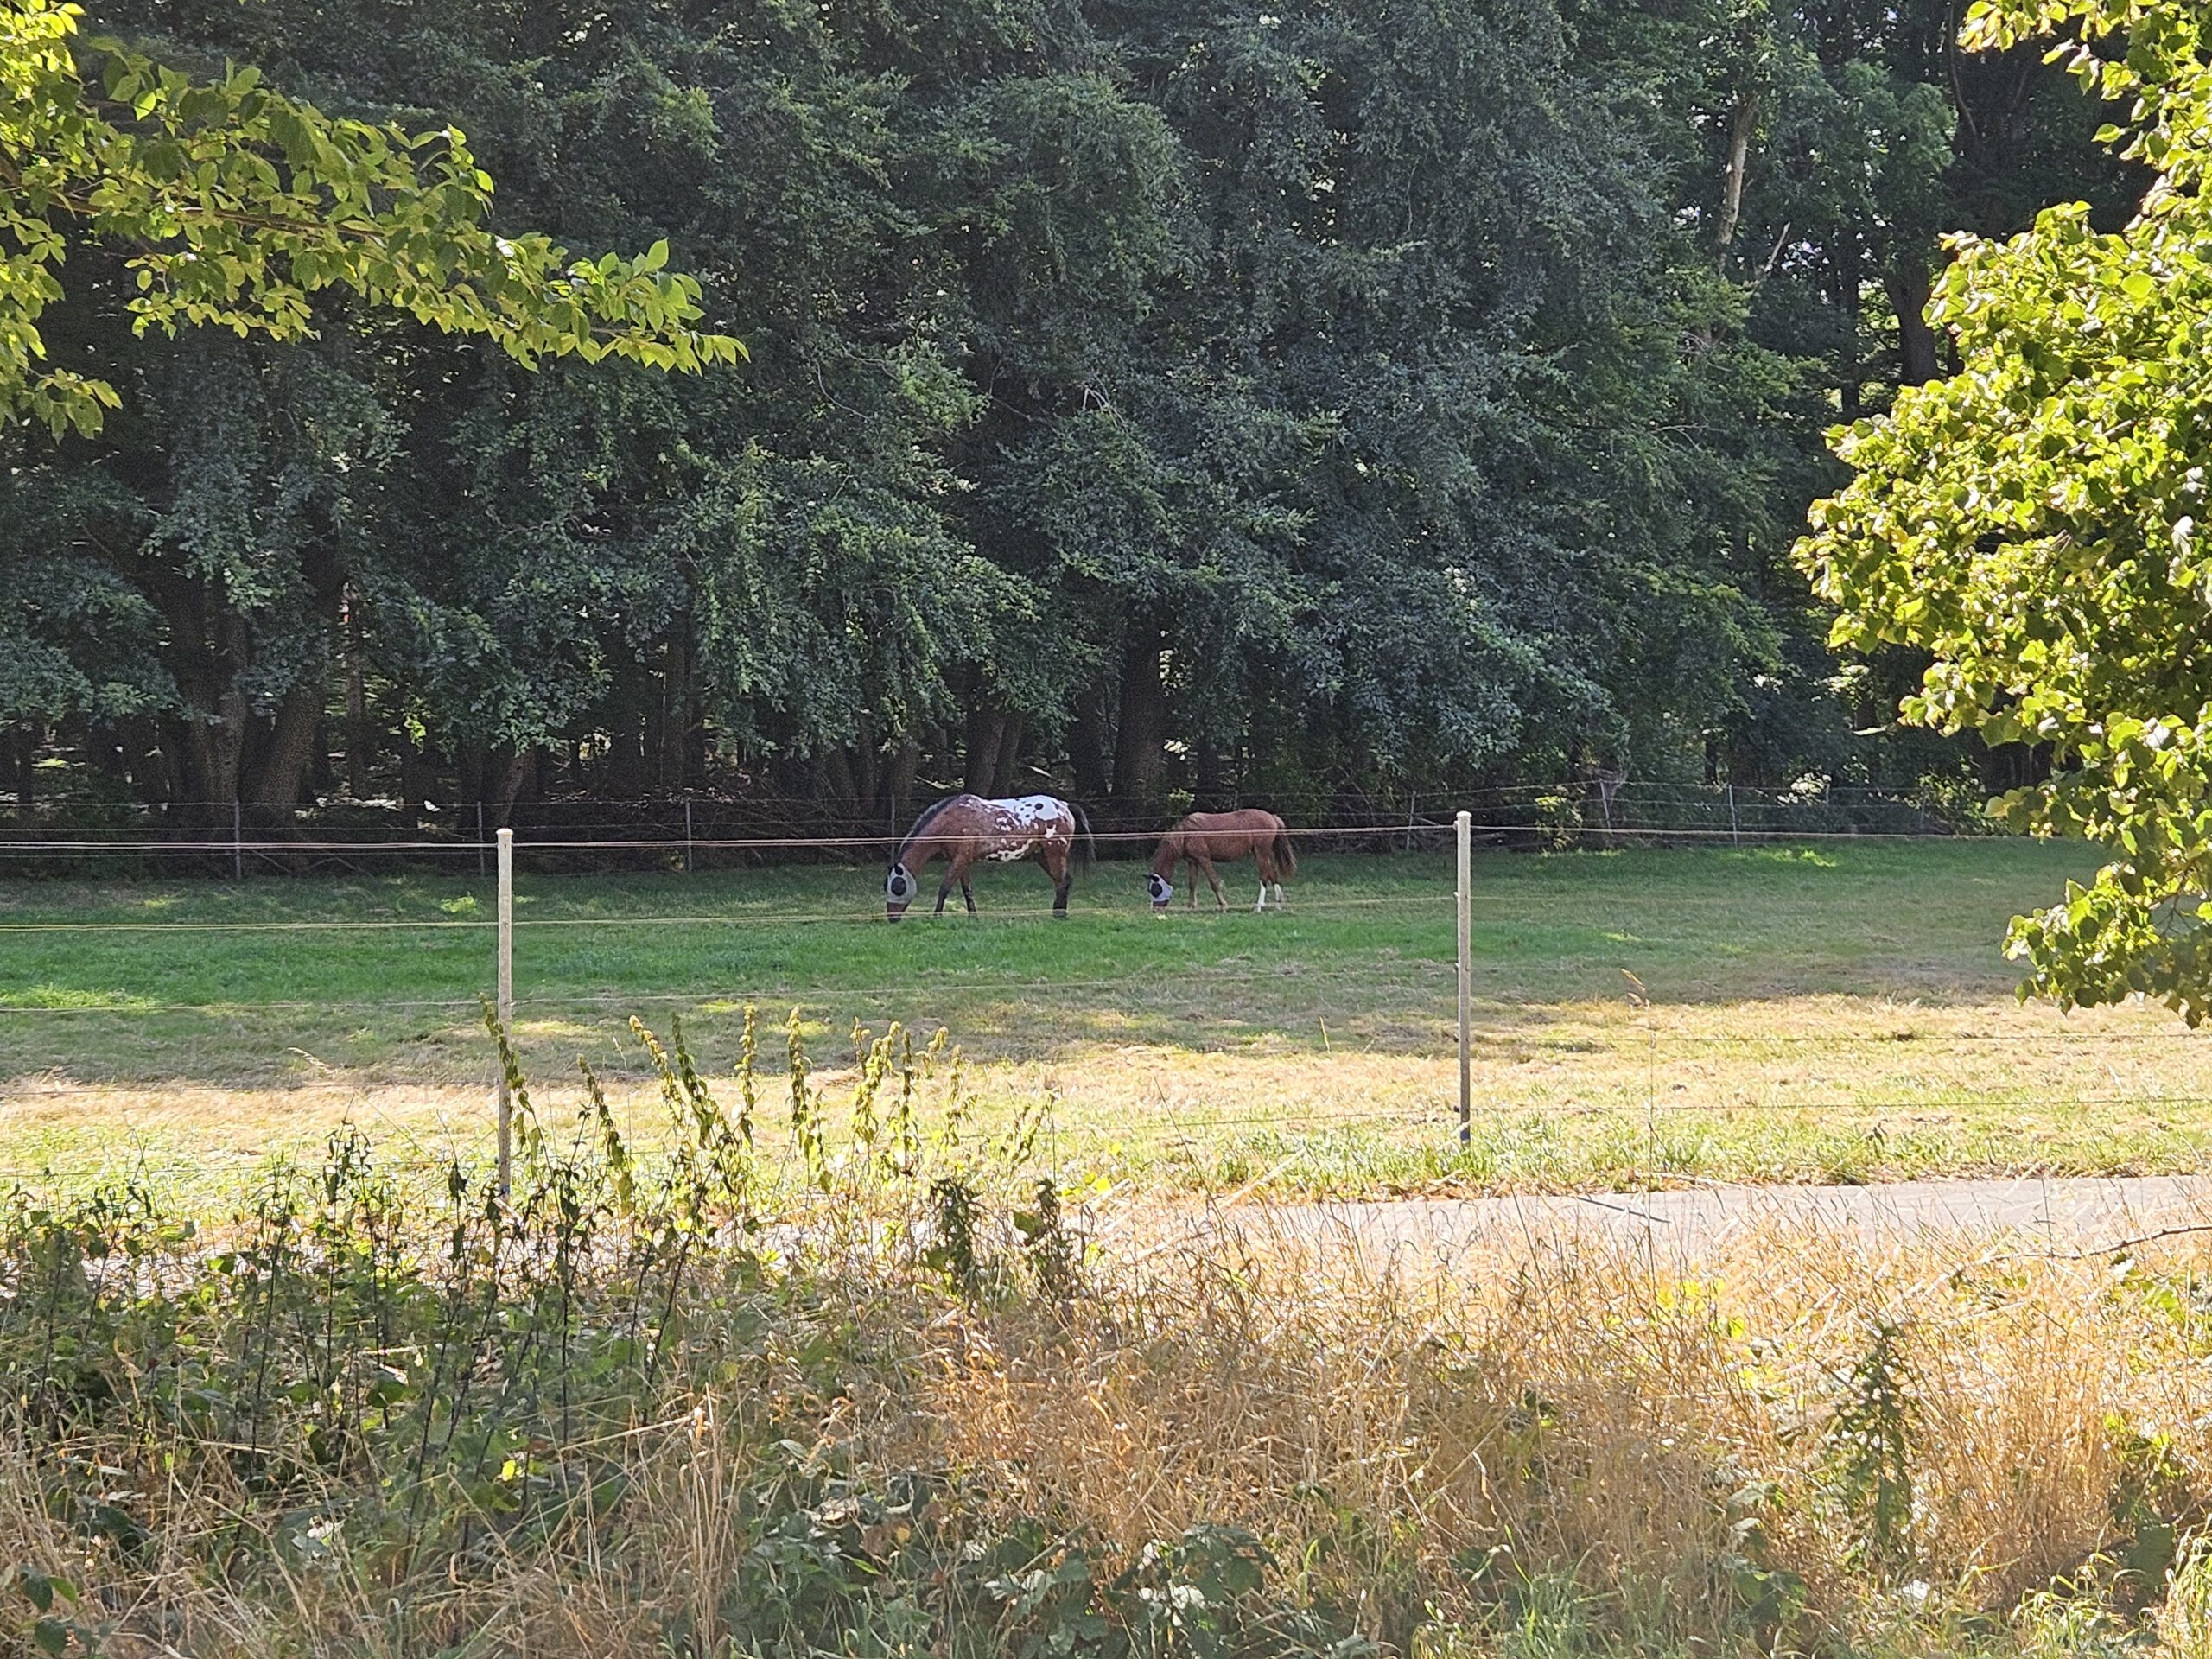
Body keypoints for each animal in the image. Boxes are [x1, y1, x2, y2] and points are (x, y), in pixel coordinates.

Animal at [885, 794, 1095, 921]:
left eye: (898, 886)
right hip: (1042, 857)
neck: (954, 818)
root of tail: (1065, 806)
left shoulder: (960, 859)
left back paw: (1058, 915)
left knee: (1062, 882)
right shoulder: (962, 861)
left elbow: (944, 888)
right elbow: (967, 890)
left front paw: (937, 917)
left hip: (1054, 854)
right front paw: (973, 917)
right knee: (1064, 881)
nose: (891, 918)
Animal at [1146, 808, 1297, 913]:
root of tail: (1272, 817)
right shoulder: (1193, 861)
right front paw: (1191, 906)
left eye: (1155, 890)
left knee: (1264, 877)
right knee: (1273, 875)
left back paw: (1258, 906)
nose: (1155, 910)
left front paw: (1223, 906)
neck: (1186, 834)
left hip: (1261, 853)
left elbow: (1213, 882)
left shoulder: (1204, 859)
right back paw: (1278, 904)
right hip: (1261, 854)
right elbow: (1192, 883)